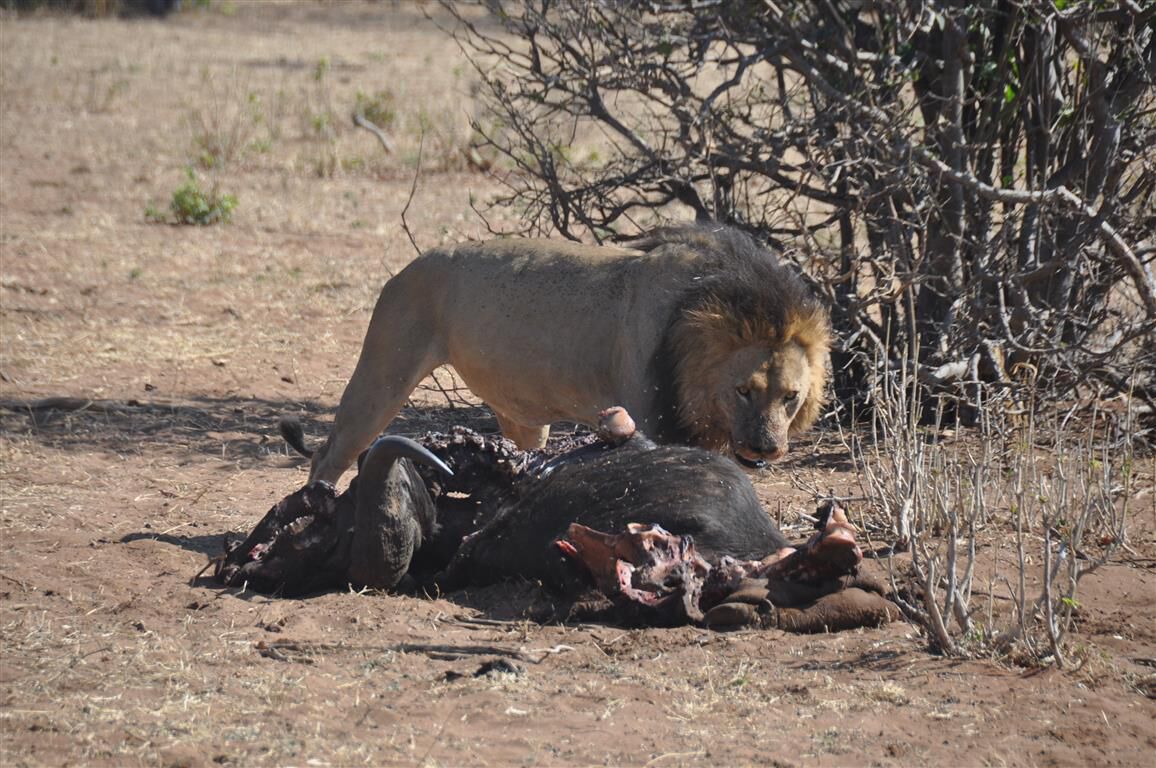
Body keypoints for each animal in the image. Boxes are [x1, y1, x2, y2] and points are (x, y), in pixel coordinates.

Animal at [304, 225, 831, 484]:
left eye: (790, 397)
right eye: (743, 390)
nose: (766, 447)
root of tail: (409, 265)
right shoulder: (657, 419)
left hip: (523, 421)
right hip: (382, 375)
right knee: (328, 456)